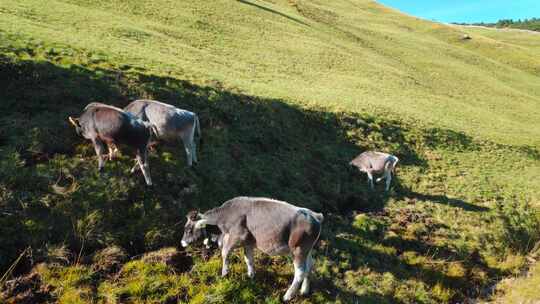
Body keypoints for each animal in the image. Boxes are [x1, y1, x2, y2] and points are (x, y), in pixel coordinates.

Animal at [181, 197, 324, 302]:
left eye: (188, 230)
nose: (182, 243)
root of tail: (314, 215)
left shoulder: (238, 236)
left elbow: (225, 253)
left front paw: (224, 273)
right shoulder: (248, 242)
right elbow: (248, 259)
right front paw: (251, 276)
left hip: (298, 250)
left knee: (300, 272)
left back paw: (287, 296)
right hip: (307, 250)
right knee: (310, 265)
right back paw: (304, 290)